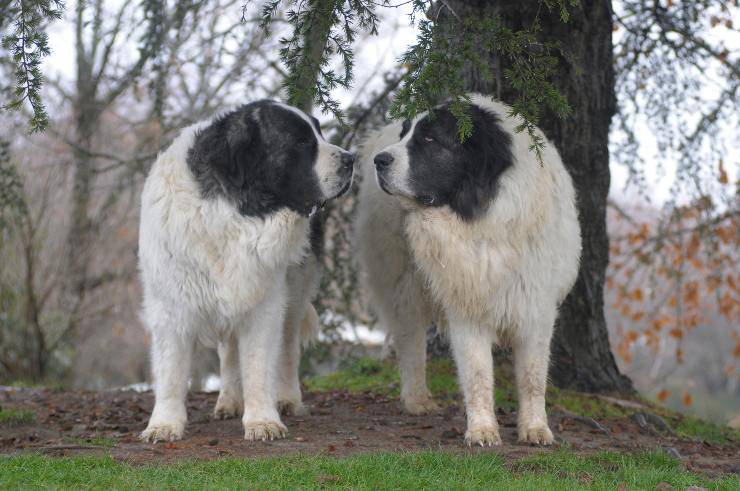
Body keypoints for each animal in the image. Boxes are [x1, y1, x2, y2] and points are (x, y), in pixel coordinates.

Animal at [141, 99, 356, 442]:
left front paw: (262, 420)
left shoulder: (264, 303)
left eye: (320, 133)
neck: (234, 214)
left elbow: (258, 364)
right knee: (229, 351)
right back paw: (229, 400)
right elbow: (171, 370)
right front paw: (164, 423)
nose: (351, 159)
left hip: (295, 287)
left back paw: (287, 398)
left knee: (287, 347)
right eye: (301, 142)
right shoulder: (170, 304)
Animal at [356, 94, 580, 448]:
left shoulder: (535, 307)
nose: (381, 161)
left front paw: (535, 428)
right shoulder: (466, 304)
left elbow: (532, 377)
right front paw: (482, 430)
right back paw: (417, 398)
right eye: (406, 134)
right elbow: (477, 374)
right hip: (402, 279)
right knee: (410, 339)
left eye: (429, 139)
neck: (479, 218)